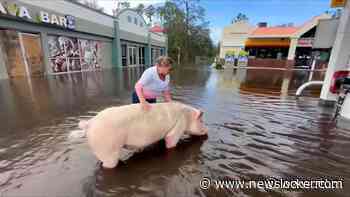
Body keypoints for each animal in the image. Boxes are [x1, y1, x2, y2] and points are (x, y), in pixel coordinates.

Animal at [78, 102, 208, 169]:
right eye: (201, 121)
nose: (207, 130)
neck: (188, 116)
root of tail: (90, 123)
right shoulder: (178, 127)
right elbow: (171, 141)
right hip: (107, 149)